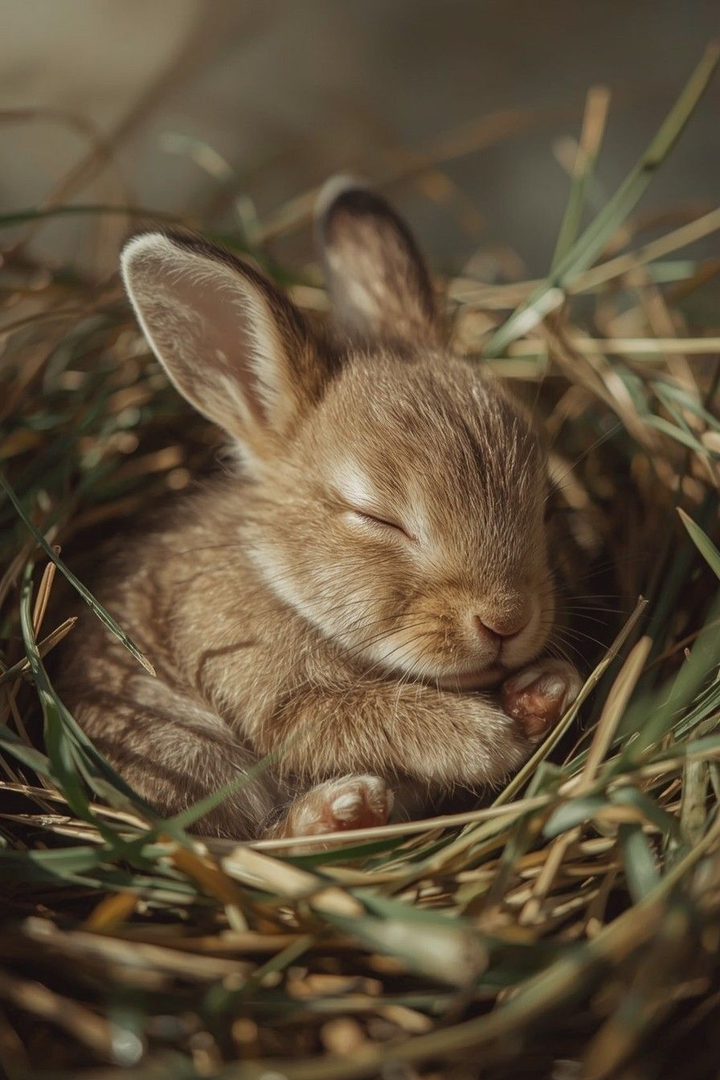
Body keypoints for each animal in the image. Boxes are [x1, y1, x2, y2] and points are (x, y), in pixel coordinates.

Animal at [56, 178, 582, 841]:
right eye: (378, 518)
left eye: (545, 504)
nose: (507, 621)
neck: (278, 580)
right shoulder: (259, 682)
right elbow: (330, 720)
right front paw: (484, 738)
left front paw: (547, 689)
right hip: (178, 744)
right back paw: (341, 810)